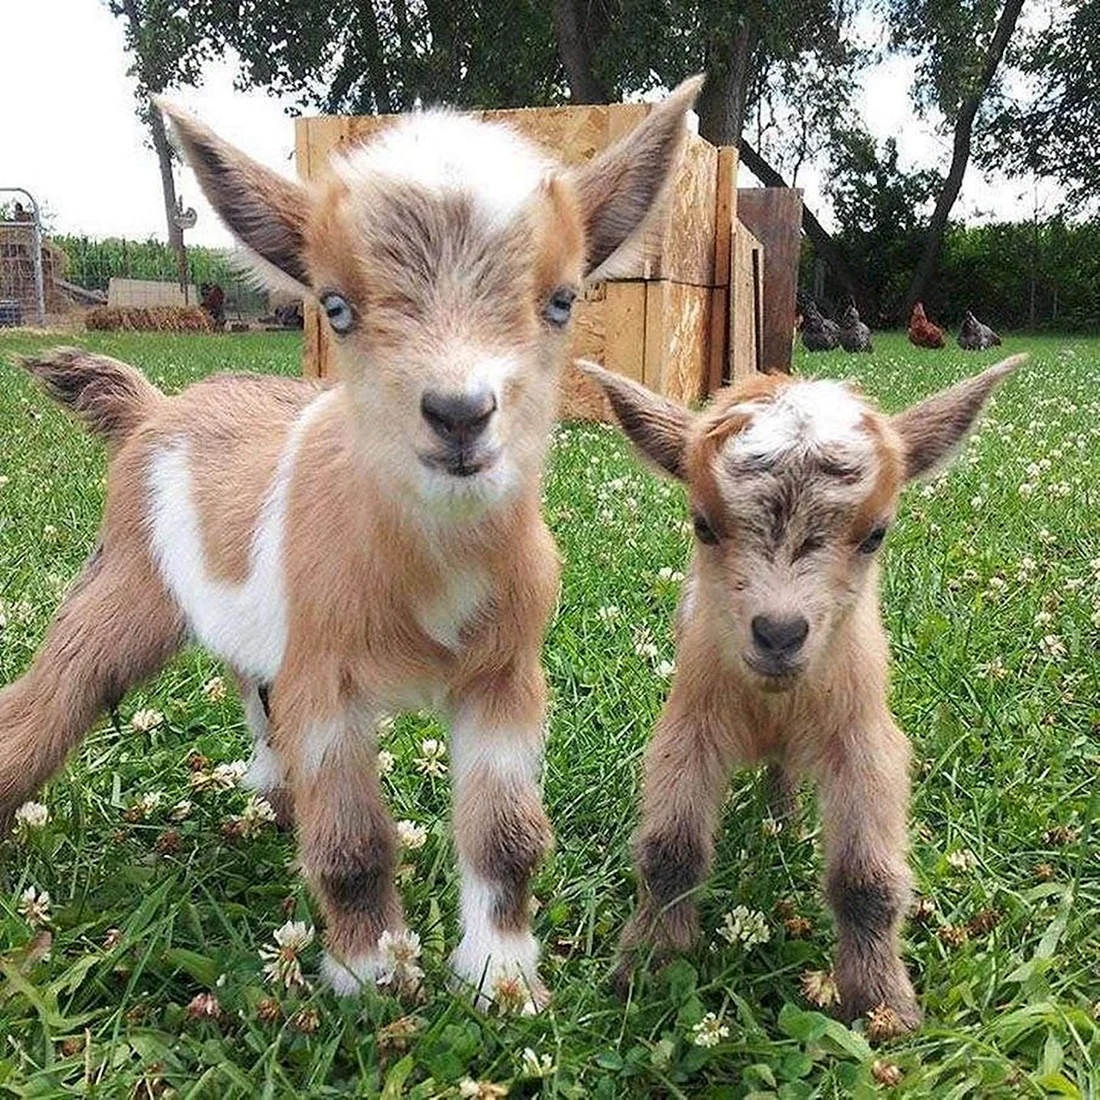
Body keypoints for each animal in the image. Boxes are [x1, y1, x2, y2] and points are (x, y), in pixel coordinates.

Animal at [0, 78, 702, 1011]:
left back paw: (271, 793)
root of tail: (153, 410)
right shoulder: (327, 679)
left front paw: (503, 977)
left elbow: (506, 833)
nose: (458, 414)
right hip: (124, 587)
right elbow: (354, 841)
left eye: (562, 301)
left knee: (252, 694)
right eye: (335, 307)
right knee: (52, 697)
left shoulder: (504, 675)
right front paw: (369, 975)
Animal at [580, 353, 1023, 1034]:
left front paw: (882, 1005)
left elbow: (865, 880)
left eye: (875, 535)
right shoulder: (689, 728)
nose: (779, 634)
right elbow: (670, 851)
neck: (774, 701)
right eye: (703, 525)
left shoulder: (864, 740)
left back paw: (782, 824)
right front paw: (649, 963)